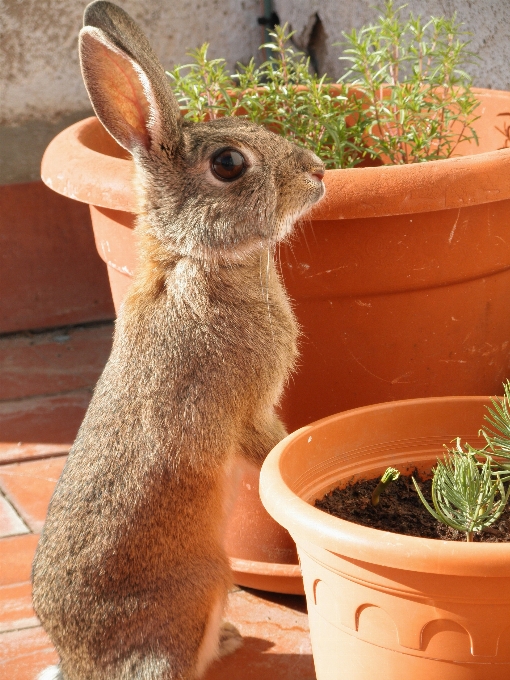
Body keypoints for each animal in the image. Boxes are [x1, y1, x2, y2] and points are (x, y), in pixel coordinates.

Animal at [31, 1, 324, 680]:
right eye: (228, 164)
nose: (318, 172)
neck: (197, 259)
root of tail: (80, 664)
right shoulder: (247, 407)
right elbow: (270, 445)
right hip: (197, 594)